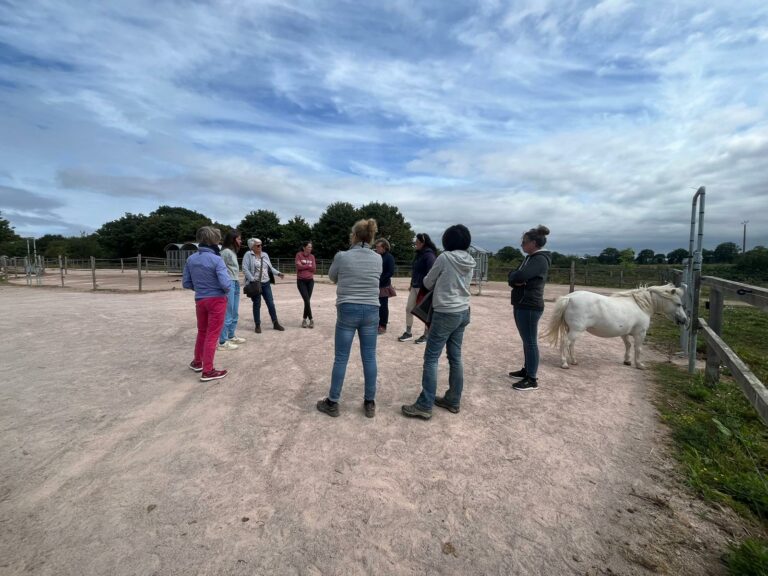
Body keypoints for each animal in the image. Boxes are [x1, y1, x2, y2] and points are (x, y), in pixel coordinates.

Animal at [544, 282, 688, 368]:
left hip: (573, 330)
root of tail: (569, 298)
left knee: (571, 344)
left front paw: (627, 361)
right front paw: (639, 364)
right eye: (678, 304)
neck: (640, 305)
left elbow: (628, 345)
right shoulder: (640, 333)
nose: (684, 320)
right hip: (575, 330)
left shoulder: (624, 333)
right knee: (565, 342)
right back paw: (564, 363)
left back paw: (573, 361)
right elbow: (638, 348)